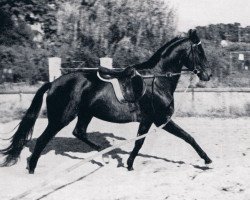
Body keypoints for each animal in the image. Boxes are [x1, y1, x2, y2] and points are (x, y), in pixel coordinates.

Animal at [0, 28, 213, 173]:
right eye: (200, 52)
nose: (208, 75)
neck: (156, 79)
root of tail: (53, 83)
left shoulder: (147, 120)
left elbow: (139, 143)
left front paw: (128, 164)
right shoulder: (160, 118)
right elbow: (187, 137)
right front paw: (207, 160)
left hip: (85, 113)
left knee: (79, 132)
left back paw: (102, 155)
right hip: (61, 118)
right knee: (44, 139)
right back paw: (32, 168)